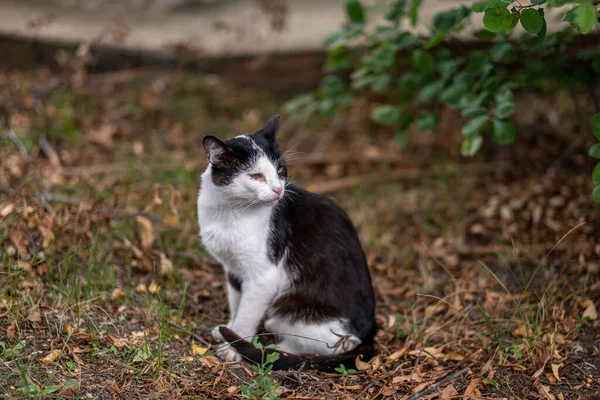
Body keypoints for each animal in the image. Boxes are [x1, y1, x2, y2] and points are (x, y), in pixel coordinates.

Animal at [197, 114, 376, 370]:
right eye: (256, 176)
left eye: (280, 169)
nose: (278, 189)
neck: (229, 212)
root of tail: (370, 334)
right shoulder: (232, 268)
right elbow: (236, 302)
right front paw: (227, 328)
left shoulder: (264, 278)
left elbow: (246, 315)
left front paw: (234, 345)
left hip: (288, 313)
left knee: (337, 344)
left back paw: (280, 350)